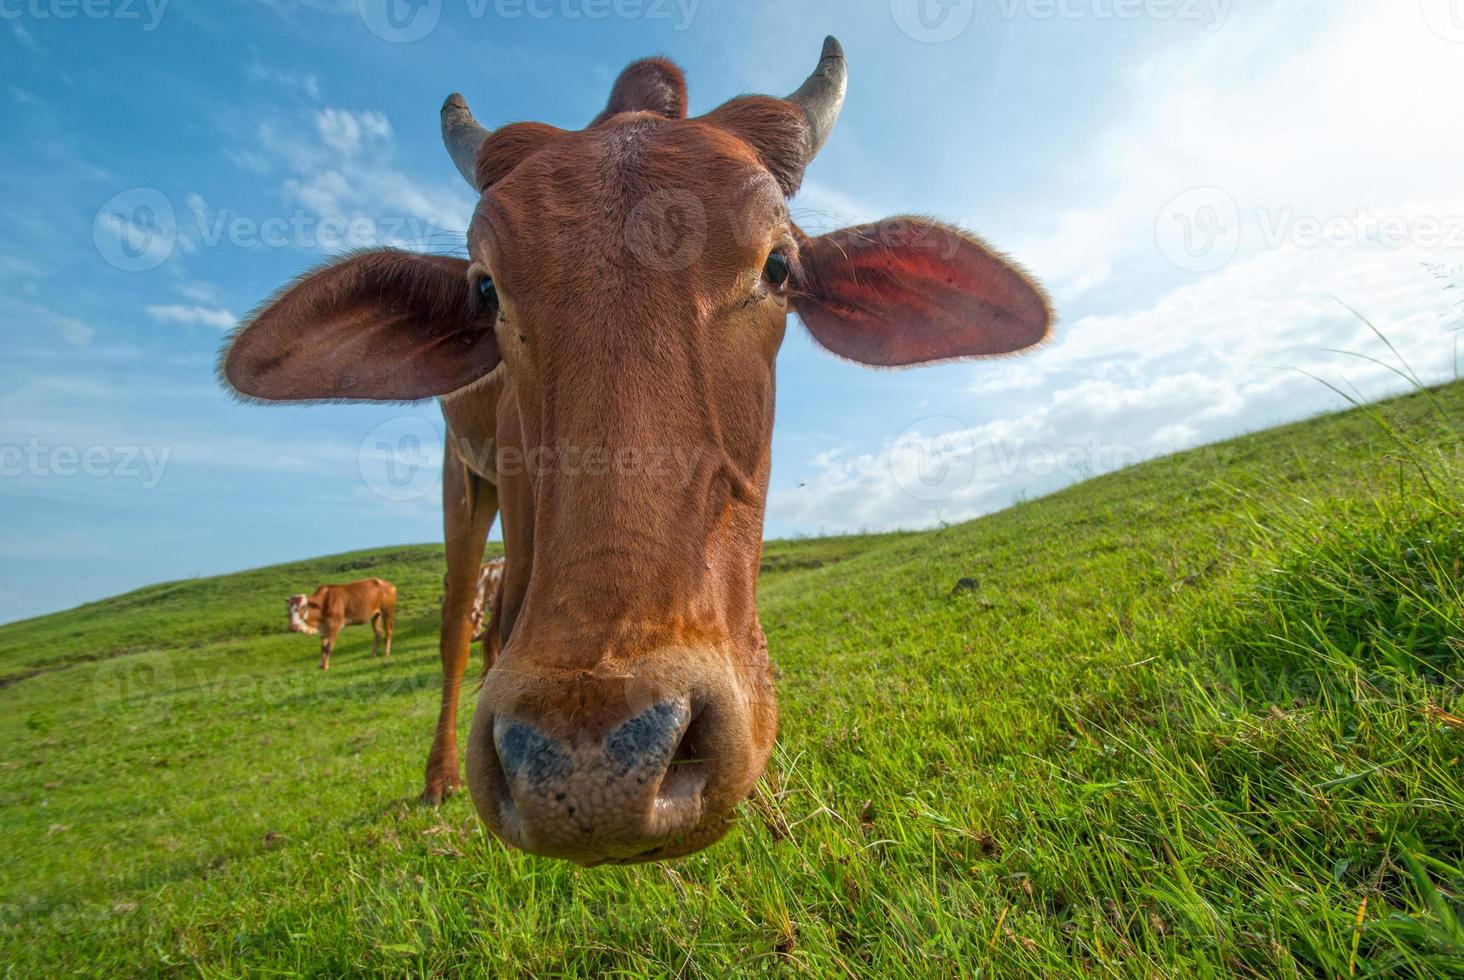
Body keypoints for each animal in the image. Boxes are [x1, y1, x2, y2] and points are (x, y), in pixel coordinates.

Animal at [219, 38, 1054, 861]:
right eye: (486, 289)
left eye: (778, 265)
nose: (589, 769)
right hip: (464, 476)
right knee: (459, 623)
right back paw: (439, 773)